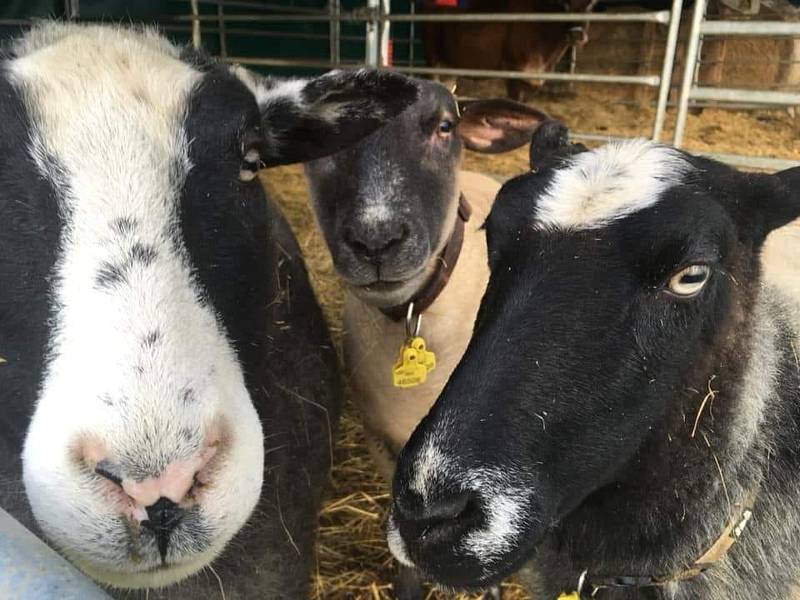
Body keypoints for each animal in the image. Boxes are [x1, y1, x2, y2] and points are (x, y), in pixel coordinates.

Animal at [418, 0, 592, 100]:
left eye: (590, 5)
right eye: (564, 5)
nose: (576, 34)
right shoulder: (514, 69)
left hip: (451, 64)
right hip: (432, 58)